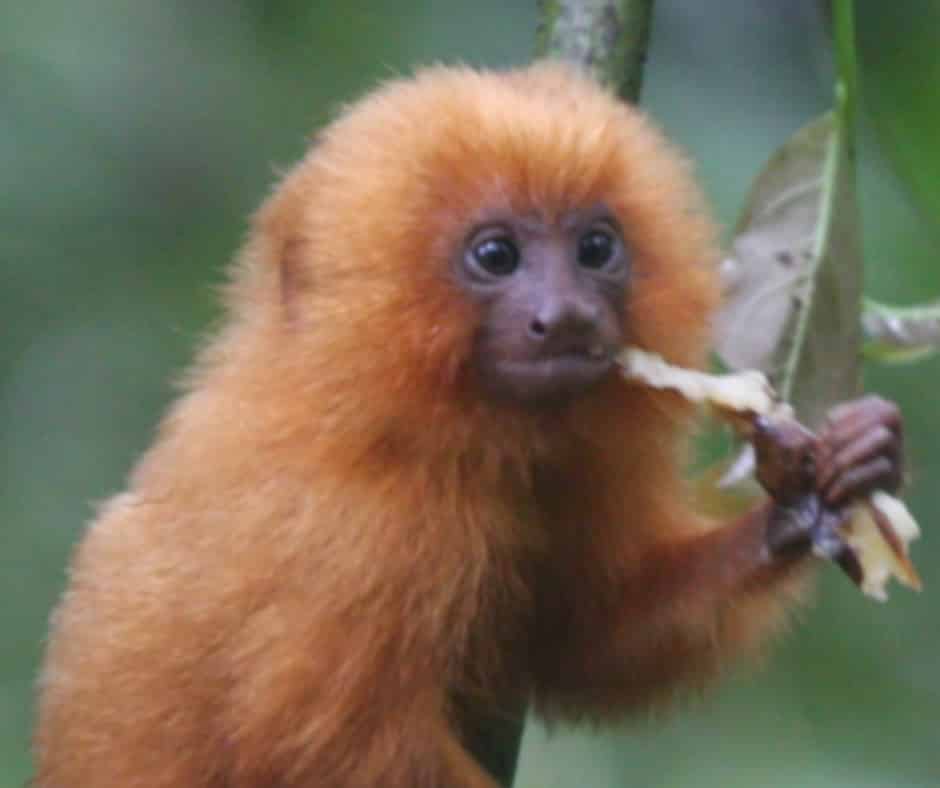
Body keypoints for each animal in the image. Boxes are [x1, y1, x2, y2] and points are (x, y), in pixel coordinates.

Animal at [35, 63, 904, 788]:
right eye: (496, 255)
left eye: (595, 248)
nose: (566, 318)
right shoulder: (368, 535)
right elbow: (321, 744)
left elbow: (576, 642)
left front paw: (815, 491)